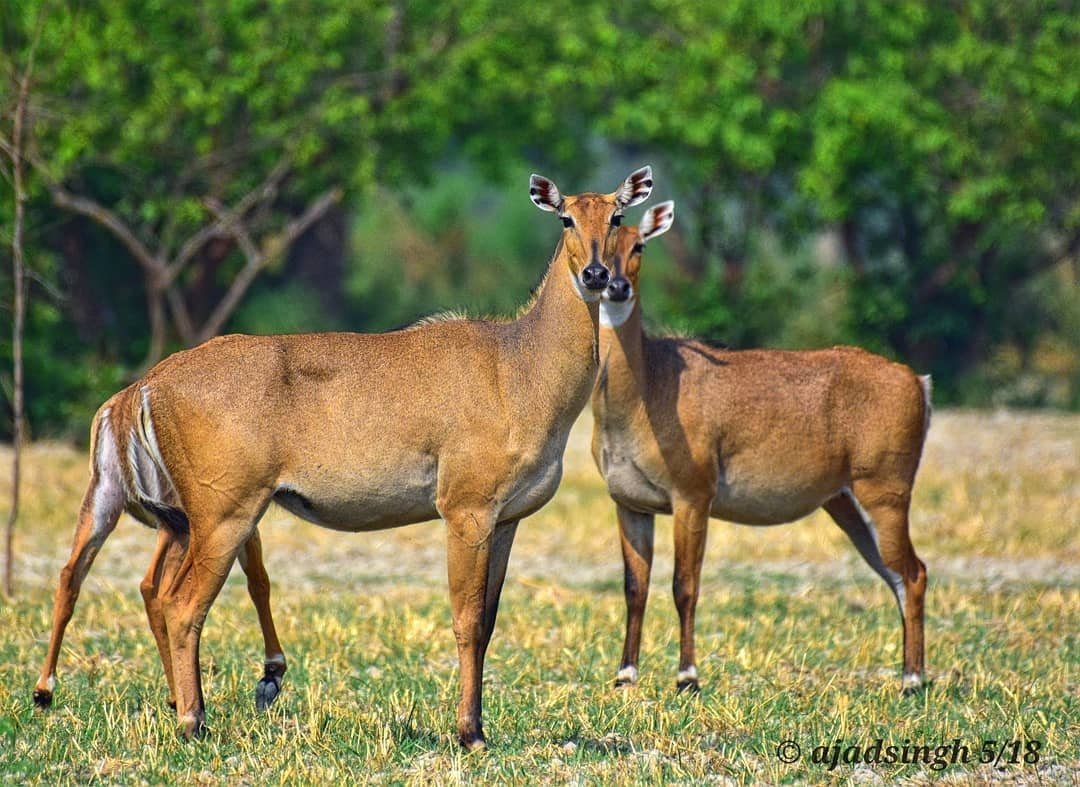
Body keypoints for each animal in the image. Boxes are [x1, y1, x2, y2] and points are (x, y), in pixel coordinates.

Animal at [33, 167, 652, 747]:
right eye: (566, 218)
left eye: (617, 217)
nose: (597, 276)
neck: (519, 368)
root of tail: (147, 385)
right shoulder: (465, 509)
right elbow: (466, 618)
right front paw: (469, 733)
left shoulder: (507, 520)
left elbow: (489, 621)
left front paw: (477, 726)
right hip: (224, 513)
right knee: (181, 604)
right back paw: (191, 721)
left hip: (192, 519)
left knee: (157, 594)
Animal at [591, 202, 928, 695]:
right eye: (591, 244)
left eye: (639, 246)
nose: (616, 286)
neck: (646, 388)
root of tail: (918, 382)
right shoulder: (630, 503)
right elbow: (635, 587)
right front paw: (625, 675)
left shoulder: (693, 495)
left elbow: (684, 585)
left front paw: (687, 677)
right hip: (845, 503)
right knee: (897, 575)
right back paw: (909, 675)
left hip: (885, 492)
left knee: (913, 573)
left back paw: (913, 680)